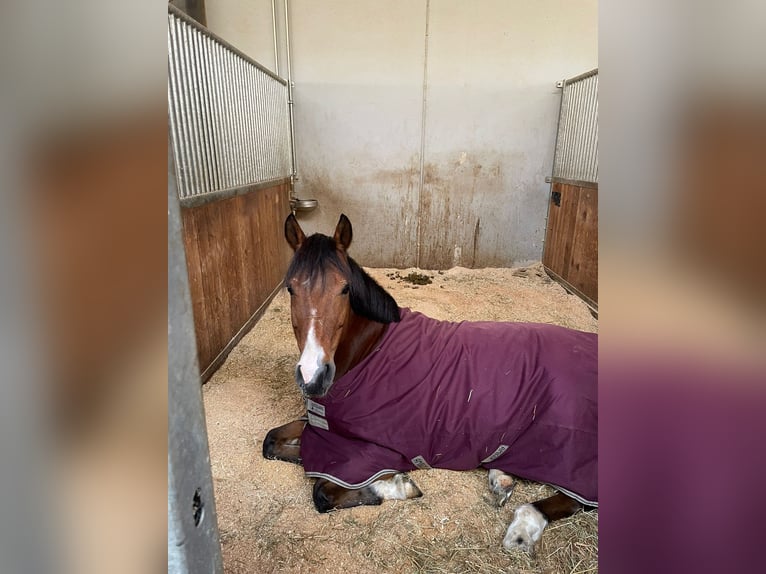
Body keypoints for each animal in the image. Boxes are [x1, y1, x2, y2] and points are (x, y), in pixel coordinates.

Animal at [263, 213, 598, 553]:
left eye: (345, 289)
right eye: (290, 289)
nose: (312, 375)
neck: (371, 351)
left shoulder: (377, 450)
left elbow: (322, 491)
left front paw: (397, 485)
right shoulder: (328, 429)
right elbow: (271, 441)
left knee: (576, 499)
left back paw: (521, 530)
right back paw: (501, 478)